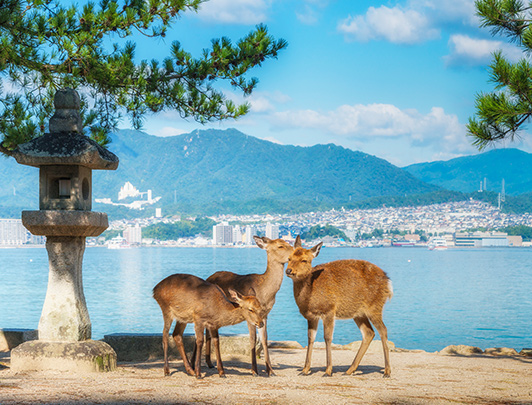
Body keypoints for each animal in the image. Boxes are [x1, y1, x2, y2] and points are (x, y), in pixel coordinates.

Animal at [205, 237, 296, 376]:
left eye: (288, 243)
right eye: (280, 246)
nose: (296, 252)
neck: (265, 293)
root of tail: (207, 278)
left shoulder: (265, 315)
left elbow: (264, 339)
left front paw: (271, 371)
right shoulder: (249, 315)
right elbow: (252, 339)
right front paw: (254, 370)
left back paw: (210, 363)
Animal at [284, 235, 392, 378]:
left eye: (304, 260)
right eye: (289, 258)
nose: (289, 270)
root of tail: (388, 282)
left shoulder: (329, 310)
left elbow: (327, 337)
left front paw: (328, 371)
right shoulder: (311, 316)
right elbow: (310, 338)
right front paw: (305, 370)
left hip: (375, 307)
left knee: (383, 330)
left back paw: (387, 371)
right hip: (359, 313)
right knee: (369, 332)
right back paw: (350, 370)